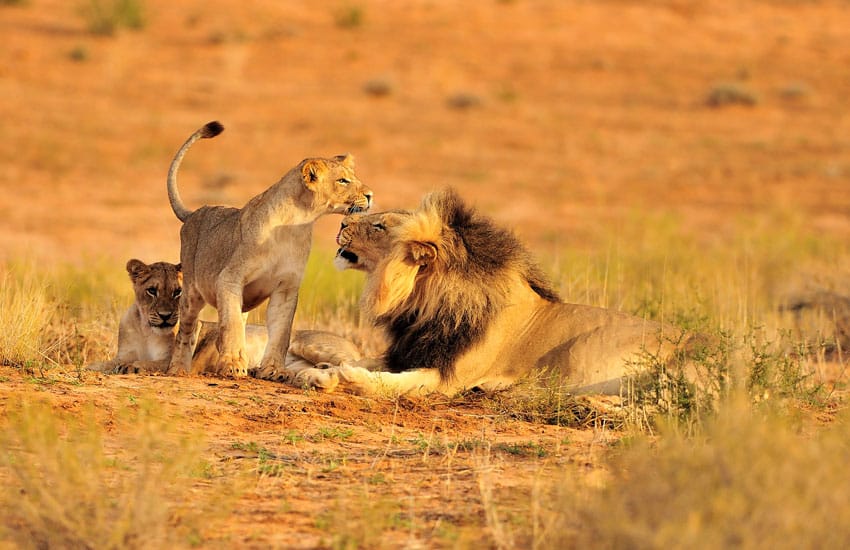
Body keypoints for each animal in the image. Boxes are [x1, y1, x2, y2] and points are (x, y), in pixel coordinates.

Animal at [165, 121, 373, 379]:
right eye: (343, 181)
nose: (370, 195)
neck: (297, 222)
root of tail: (195, 212)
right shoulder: (229, 278)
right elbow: (231, 325)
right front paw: (233, 365)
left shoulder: (286, 287)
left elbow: (281, 332)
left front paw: (273, 370)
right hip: (192, 293)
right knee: (187, 329)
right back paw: (178, 369)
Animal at [287, 189, 714, 397]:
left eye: (378, 226)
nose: (341, 224)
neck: (425, 303)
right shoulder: (411, 351)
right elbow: (370, 361)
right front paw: (318, 371)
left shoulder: (446, 377)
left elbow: (388, 383)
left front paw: (340, 377)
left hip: (673, 370)